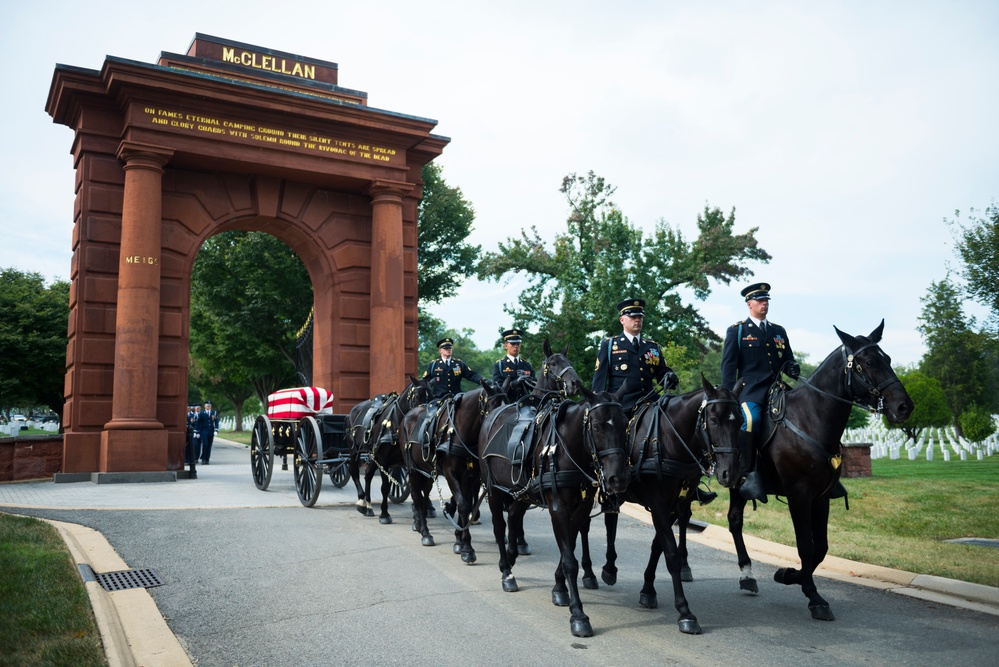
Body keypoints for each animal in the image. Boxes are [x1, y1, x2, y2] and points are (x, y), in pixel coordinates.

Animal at [346, 378, 432, 524]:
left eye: (431, 396)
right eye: (416, 396)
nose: (425, 418)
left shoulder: (408, 462)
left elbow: (416, 488)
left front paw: (418, 514)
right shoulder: (383, 460)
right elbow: (385, 487)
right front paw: (384, 514)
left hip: (373, 455)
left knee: (368, 474)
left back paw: (368, 506)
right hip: (354, 450)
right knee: (354, 471)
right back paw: (362, 501)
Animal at [480, 384, 628, 640]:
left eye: (625, 424)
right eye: (597, 426)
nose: (617, 479)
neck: (567, 449)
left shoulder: (581, 508)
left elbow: (569, 547)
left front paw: (559, 588)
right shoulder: (558, 508)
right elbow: (569, 560)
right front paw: (578, 615)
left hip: (522, 492)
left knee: (514, 516)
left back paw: (511, 555)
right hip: (494, 490)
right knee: (499, 528)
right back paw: (506, 572)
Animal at [584, 378, 744, 636]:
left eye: (739, 420)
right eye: (713, 419)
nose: (729, 473)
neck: (671, 441)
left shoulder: (674, 506)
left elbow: (658, 546)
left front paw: (648, 590)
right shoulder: (659, 505)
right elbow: (671, 554)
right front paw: (685, 612)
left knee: (610, 521)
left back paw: (609, 568)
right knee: (584, 525)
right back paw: (590, 573)